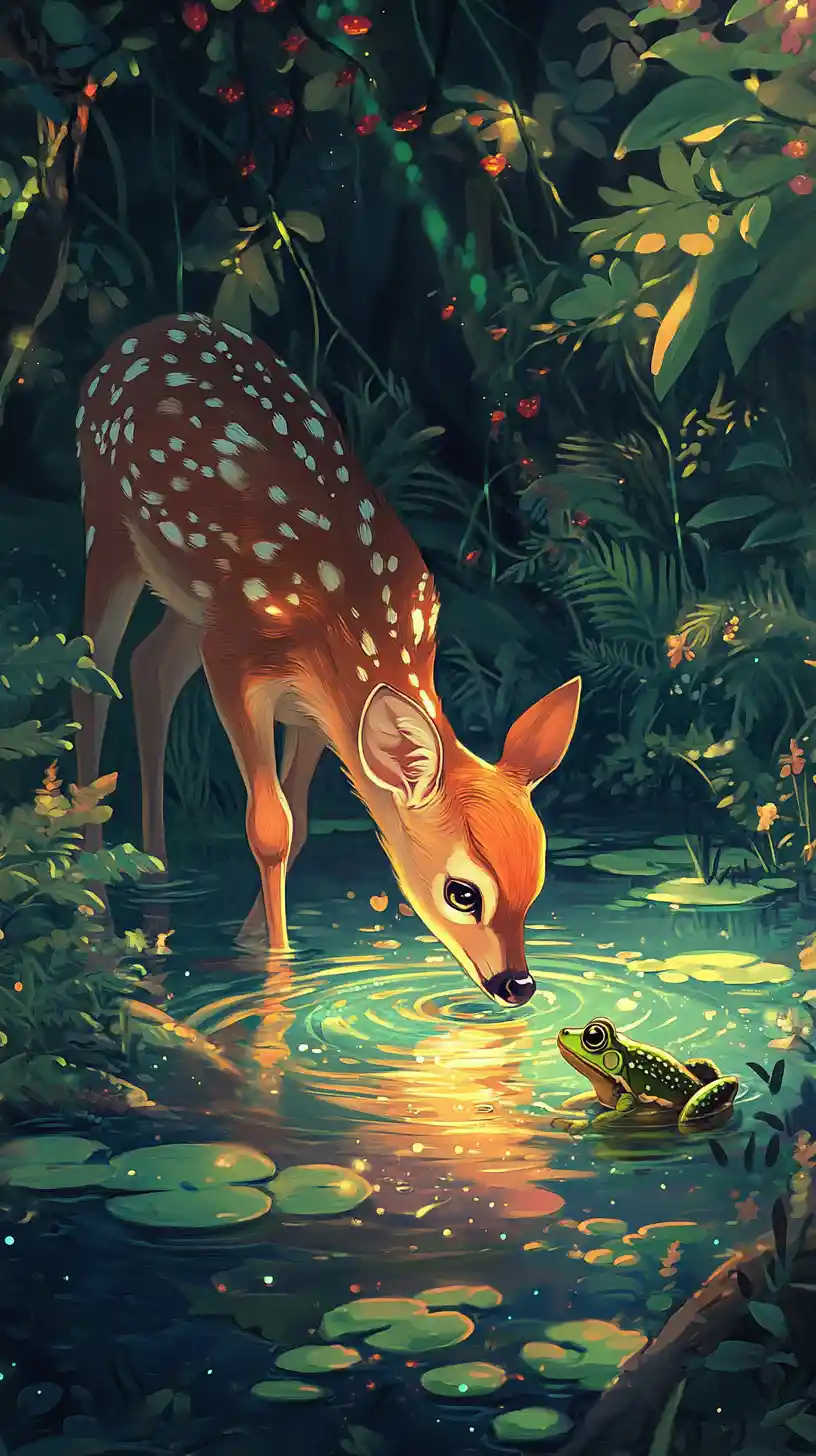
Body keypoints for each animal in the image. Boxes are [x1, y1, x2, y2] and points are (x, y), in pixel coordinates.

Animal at [73, 312, 581, 1008]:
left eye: (537, 880)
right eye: (463, 892)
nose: (519, 985)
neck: (348, 628)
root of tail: (143, 330)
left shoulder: (317, 709)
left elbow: (304, 823)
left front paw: (250, 941)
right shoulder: (233, 657)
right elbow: (270, 826)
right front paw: (276, 968)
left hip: (186, 595)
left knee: (150, 668)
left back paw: (157, 873)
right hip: (107, 520)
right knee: (89, 677)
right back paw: (92, 895)